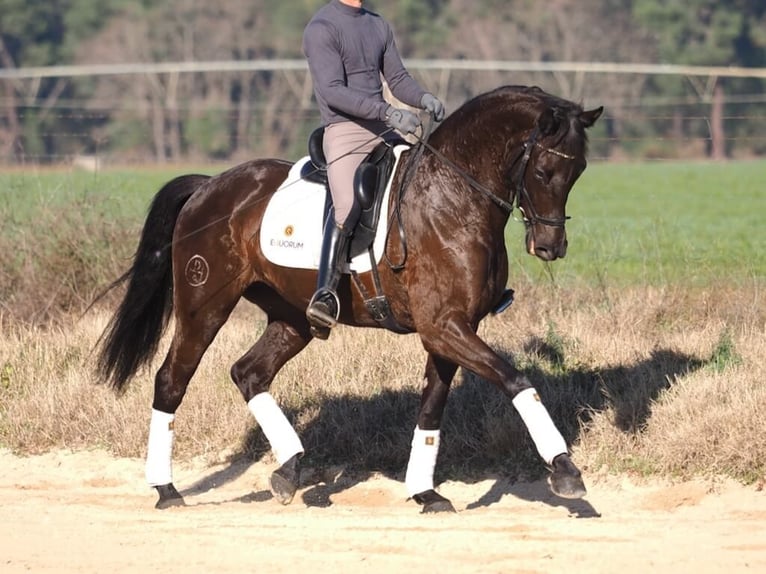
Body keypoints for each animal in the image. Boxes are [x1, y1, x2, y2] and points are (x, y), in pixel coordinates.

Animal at [96, 85, 603, 513]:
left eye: (578, 172)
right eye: (544, 171)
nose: (550, 247)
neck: (452, 197)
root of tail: (208, 186)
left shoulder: (452, 329)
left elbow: (432, 408)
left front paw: (425, 492)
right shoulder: (444, 326)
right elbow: (516, 380)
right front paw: (565, 470)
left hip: (292, 319)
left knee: (249, 373)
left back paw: (289, 470)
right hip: (204, 307)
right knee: (171, 380)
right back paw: (166, 490)